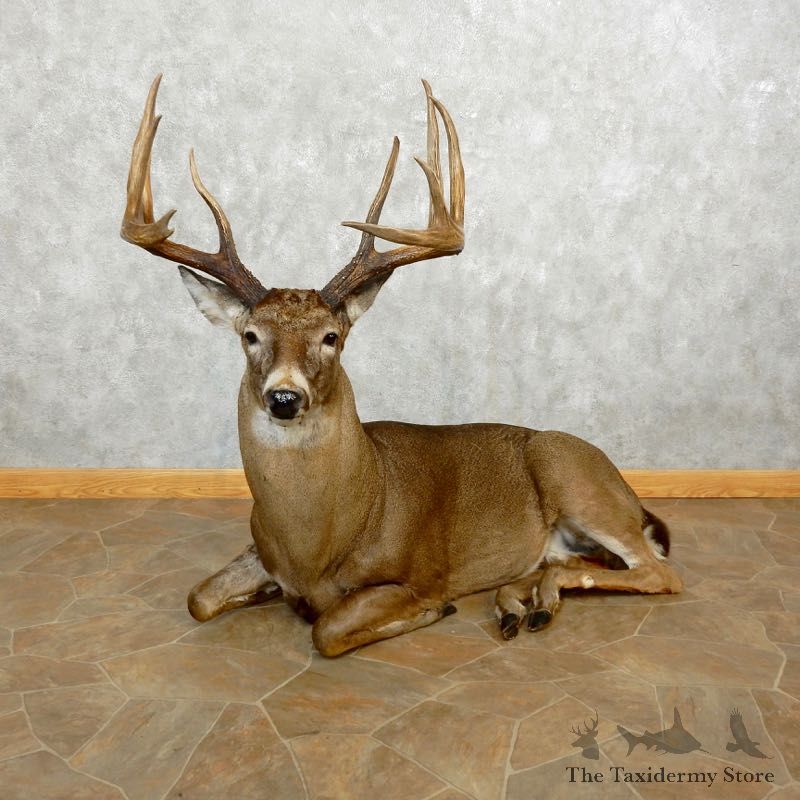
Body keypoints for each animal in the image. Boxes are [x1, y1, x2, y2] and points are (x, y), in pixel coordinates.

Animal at [120, 75, 682, 657]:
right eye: (250, 336)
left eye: (332, 337)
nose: (284, 397)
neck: (319, 542)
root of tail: (631, 495)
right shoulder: (260, 555)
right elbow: (199, 597)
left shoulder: (417, 573)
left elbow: (329, 627)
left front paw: (430, 611)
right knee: (573, 563)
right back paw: (521, 603)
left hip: (574, 474)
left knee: (658, 571)